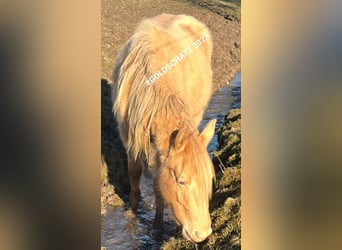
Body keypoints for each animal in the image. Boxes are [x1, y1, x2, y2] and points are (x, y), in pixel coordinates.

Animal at [111, 13, 215, 242]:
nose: (202, 234)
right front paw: (132, 210)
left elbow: (159, 184)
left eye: (208, 181)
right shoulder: (129, 137)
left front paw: (157, 225)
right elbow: (134, 172)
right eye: (182, 182)